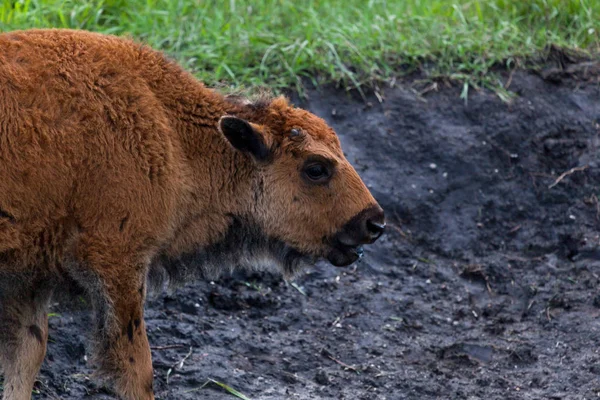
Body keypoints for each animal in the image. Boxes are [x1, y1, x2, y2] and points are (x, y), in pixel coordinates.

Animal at [0, 28, 384, 400]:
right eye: (315, 168)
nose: (375, 222)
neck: (174, 135)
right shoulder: (116, 264)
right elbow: (137, 368)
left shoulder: (29, 281)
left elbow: (27, 356)